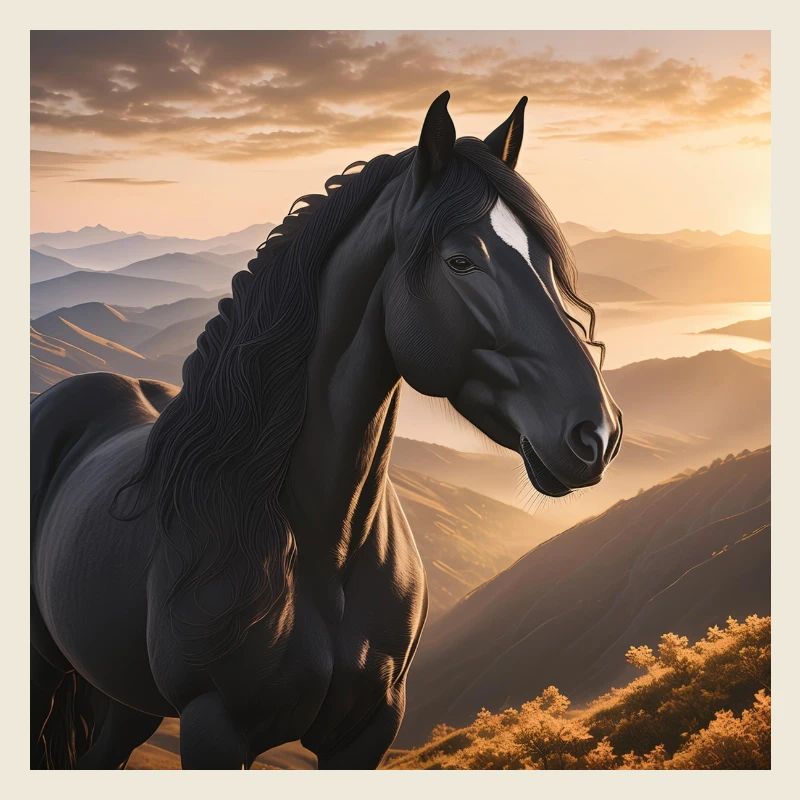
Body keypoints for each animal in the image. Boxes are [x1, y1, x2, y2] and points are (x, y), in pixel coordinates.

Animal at [30, 92, 622, 769]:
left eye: (547, 262)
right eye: (461, 261)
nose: (597, 434)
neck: (320, 543)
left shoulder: (368, 730)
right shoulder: (214, 728)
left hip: (124, 700)